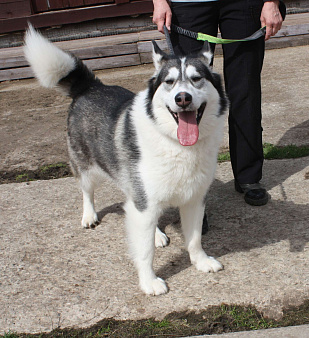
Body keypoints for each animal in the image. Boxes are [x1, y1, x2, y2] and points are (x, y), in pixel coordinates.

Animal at [23, 25, 226, 296]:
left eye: (196, 78)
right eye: (169, 82)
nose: (182, 98)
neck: (175, 144)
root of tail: (91, 86)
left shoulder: (194, 197)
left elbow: (194, 238)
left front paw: (200, 261)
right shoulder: (144, 200)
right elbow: (144, 251)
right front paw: (149, 281)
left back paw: (156, 234)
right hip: (87, 167)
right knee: (87, 191)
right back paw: (89, 215)